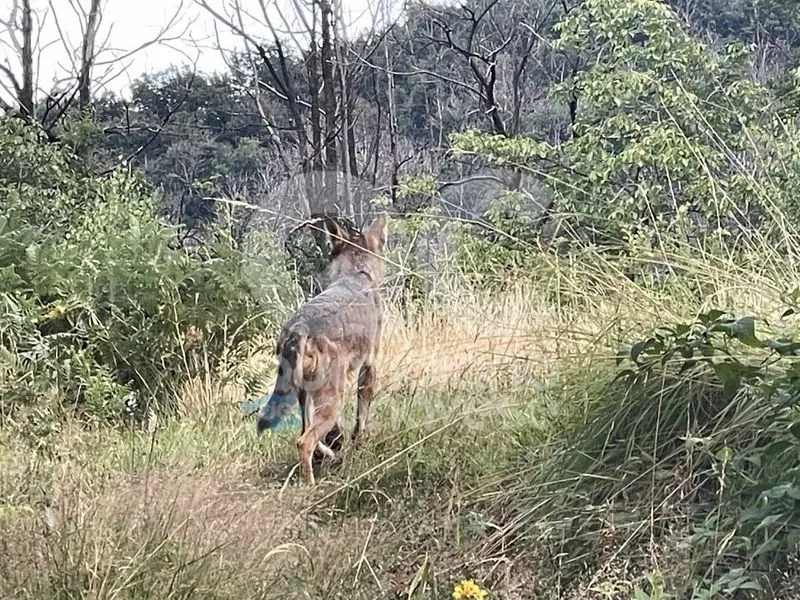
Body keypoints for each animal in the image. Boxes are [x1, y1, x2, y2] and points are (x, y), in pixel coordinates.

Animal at [256, 213, 388, 484]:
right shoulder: (370, 366)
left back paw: (326, 454)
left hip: (304, 394)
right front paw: (359, 442)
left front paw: (336, 444)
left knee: (305, 432)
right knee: (303, 442)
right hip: (332, 396)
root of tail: (299, 327)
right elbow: (361, 417)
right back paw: (310, 483)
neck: (357, 274)